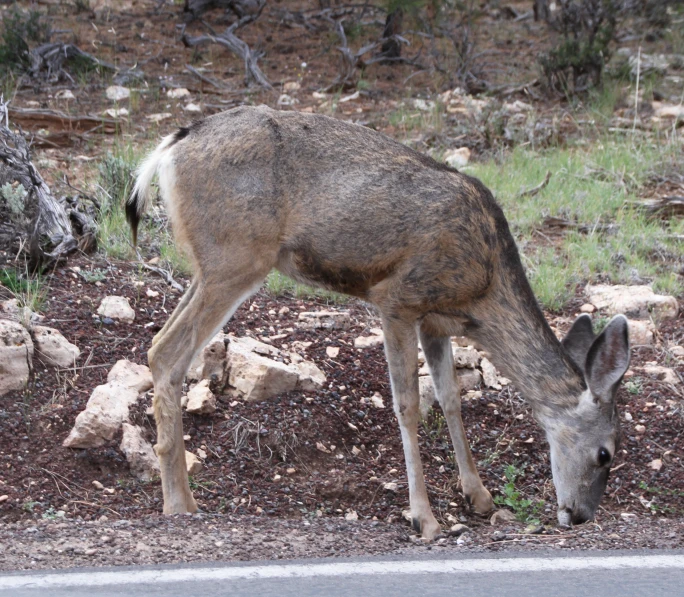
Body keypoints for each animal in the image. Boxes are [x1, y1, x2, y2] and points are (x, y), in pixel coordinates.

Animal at [128, 103, 632, 540]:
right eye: (605, 453)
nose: (582, 515)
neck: (483, 288)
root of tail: (170, 147)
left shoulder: (436, 322)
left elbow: (450, 398)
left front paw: (480, 497)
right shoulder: (397, 299)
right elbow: (408, 406)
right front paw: (424, 518)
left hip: (210, 264)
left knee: (159, 347)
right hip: (237, 255)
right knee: (167, 351)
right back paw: (179, 503)